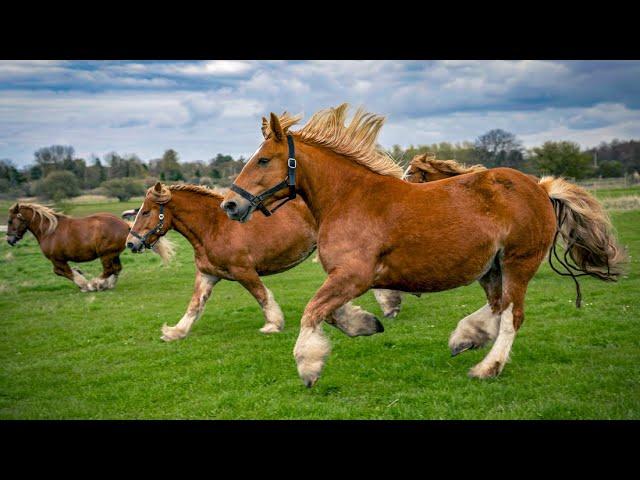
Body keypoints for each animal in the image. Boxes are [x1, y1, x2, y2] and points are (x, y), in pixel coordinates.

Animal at [5, 202, 175, 290]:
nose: (9, 240)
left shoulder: (57, 260)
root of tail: (126, 225)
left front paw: (84, 284)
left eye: (10, 220)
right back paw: (106, 285)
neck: (49, 231)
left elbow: (63, 272)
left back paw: (96, 284)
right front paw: (82, 276)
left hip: (106, 254)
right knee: (116, 269)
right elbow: (67, 271)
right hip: (113, 254)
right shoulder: (59, 260)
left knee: (109, 270)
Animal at [125, 181, 384, 342]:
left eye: (146, 212)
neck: (212, 227)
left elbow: (261, 295)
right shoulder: (208, 275)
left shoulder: (244, 271)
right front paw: (175, 332)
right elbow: (195, 305)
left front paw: (273, 324)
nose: (131, 243)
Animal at [221, 103, 624, 388]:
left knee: (512, 316)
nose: (230, 205)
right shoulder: (348, 278)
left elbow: (313, 310)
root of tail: (539, 187)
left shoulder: (354, 275)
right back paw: (466, 337)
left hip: (518, 264)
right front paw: (366, 323)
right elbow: (330, 312)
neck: (348, 198)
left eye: (263, 160)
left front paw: (308, 366)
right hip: (491, 269)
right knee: (496, 308)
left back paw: (487, 367)